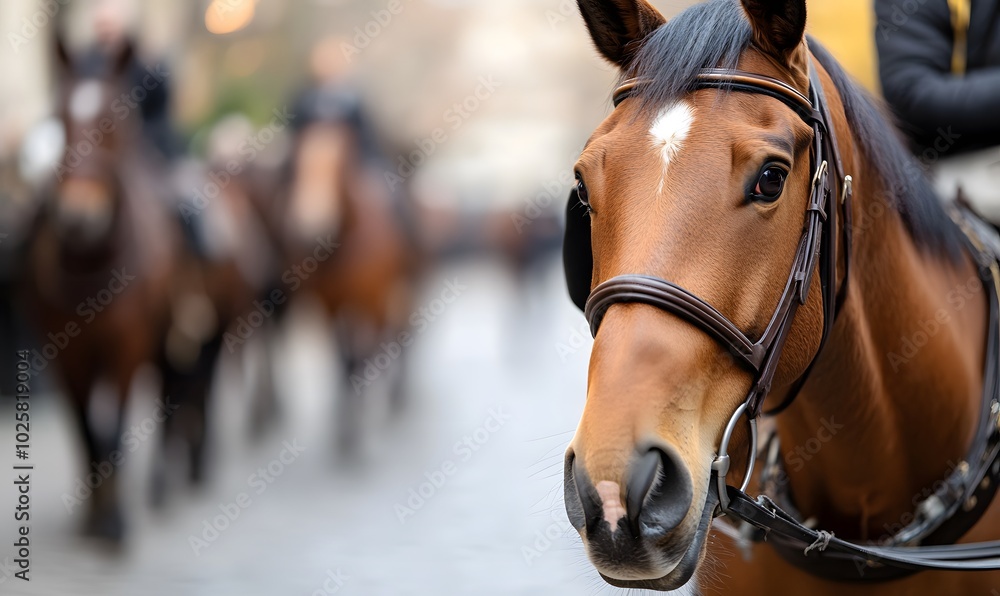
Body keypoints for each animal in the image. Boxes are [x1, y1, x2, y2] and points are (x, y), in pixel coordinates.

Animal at [22, 38, 178, 541]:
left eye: (117, 119)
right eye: (58, 116)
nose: (77, 218)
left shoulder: (128, 346)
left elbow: (114, 427)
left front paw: (114, 518)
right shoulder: (63, 354)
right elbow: (85, 429)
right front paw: (94, 512)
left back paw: (160, 483)